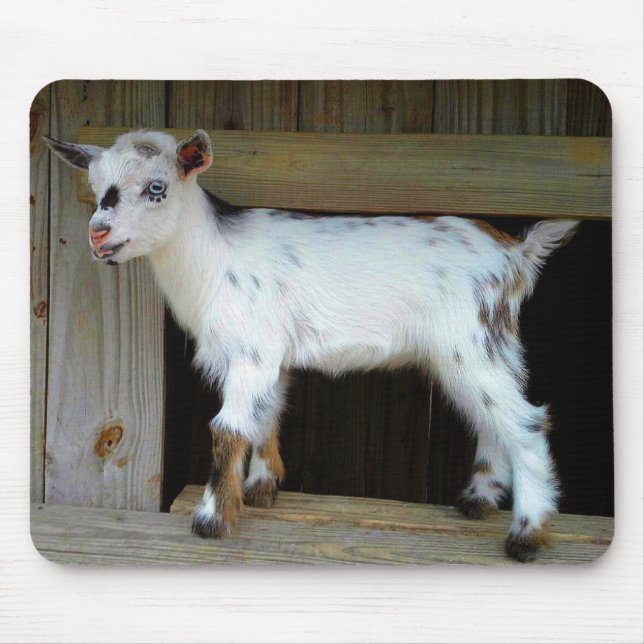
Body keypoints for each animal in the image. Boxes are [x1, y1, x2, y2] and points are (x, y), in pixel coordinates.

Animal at [45, 129, 578, 562]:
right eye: (95, 185)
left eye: (157, 188)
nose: (98, 235)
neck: (213, 256)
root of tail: (515, 252)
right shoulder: (270, 355)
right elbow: (266, 415)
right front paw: (261, 489)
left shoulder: (251, 350)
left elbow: (228, 429)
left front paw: (212, 519)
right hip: (476, 349)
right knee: (488, 417)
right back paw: (477, 500)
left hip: (471, 341)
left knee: (524, 422)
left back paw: (526, 536)